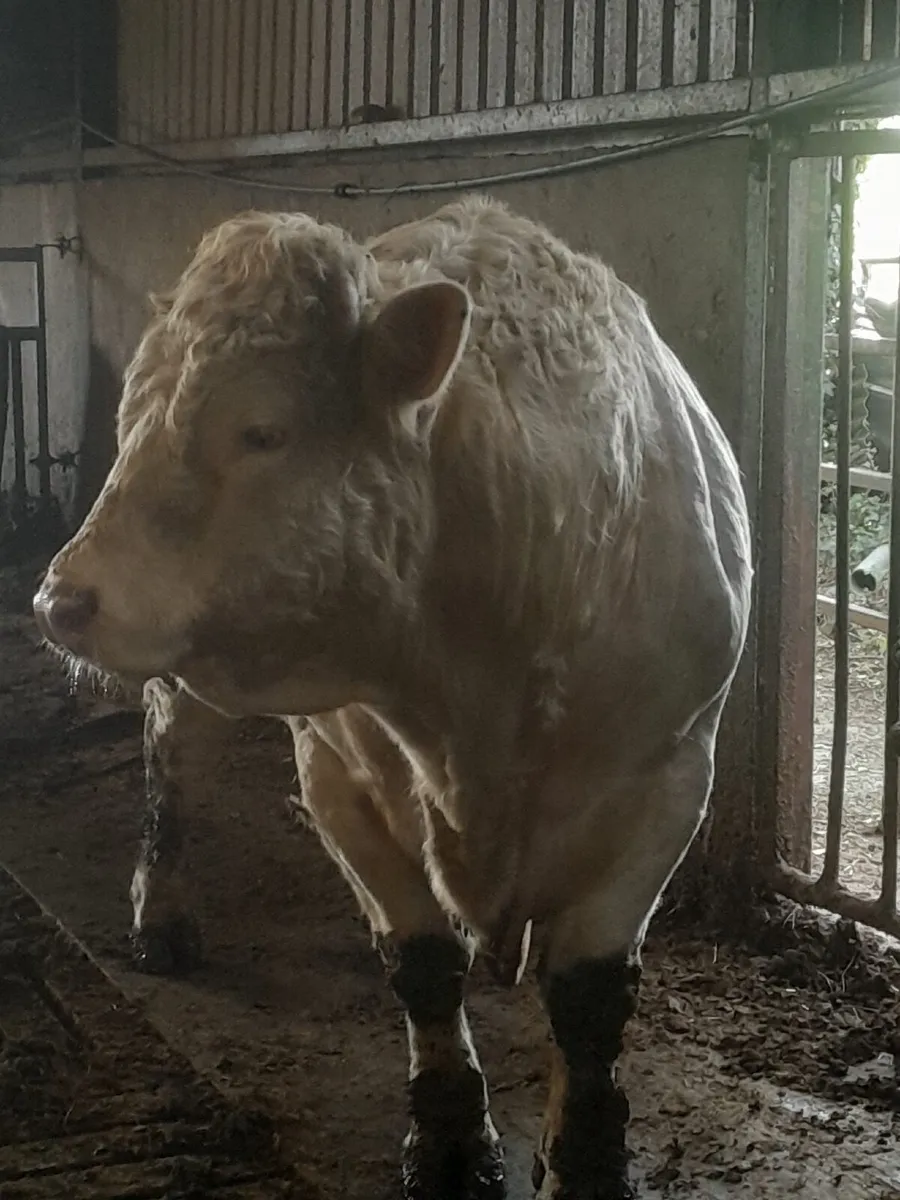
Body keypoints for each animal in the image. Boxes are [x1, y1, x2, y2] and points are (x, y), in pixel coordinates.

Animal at [34, 195, 753, 1200]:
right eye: (134, 421)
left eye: (263, 431)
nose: (61, 600)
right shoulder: (338, 772)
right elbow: (422, 963)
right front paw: (449, 1140)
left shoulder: (671, 773)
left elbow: (590, 999)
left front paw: (584, 1160)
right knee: (170, 753)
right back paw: (162, 912)